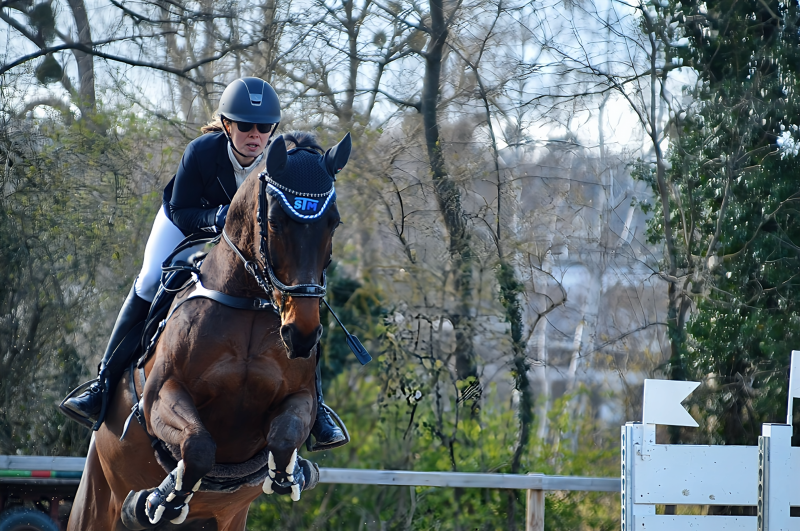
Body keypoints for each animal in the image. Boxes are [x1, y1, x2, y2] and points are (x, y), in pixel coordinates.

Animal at [70, 131, 352, 528]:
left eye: (334, 223)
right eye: (276, 221)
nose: (302, 334)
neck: (246, 301)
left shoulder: (301, 398)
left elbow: (284, 438)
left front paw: (290, 475)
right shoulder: (161, 396)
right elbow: (198, 446)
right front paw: (161, 499)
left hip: (230, 517)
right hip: (96, 498)